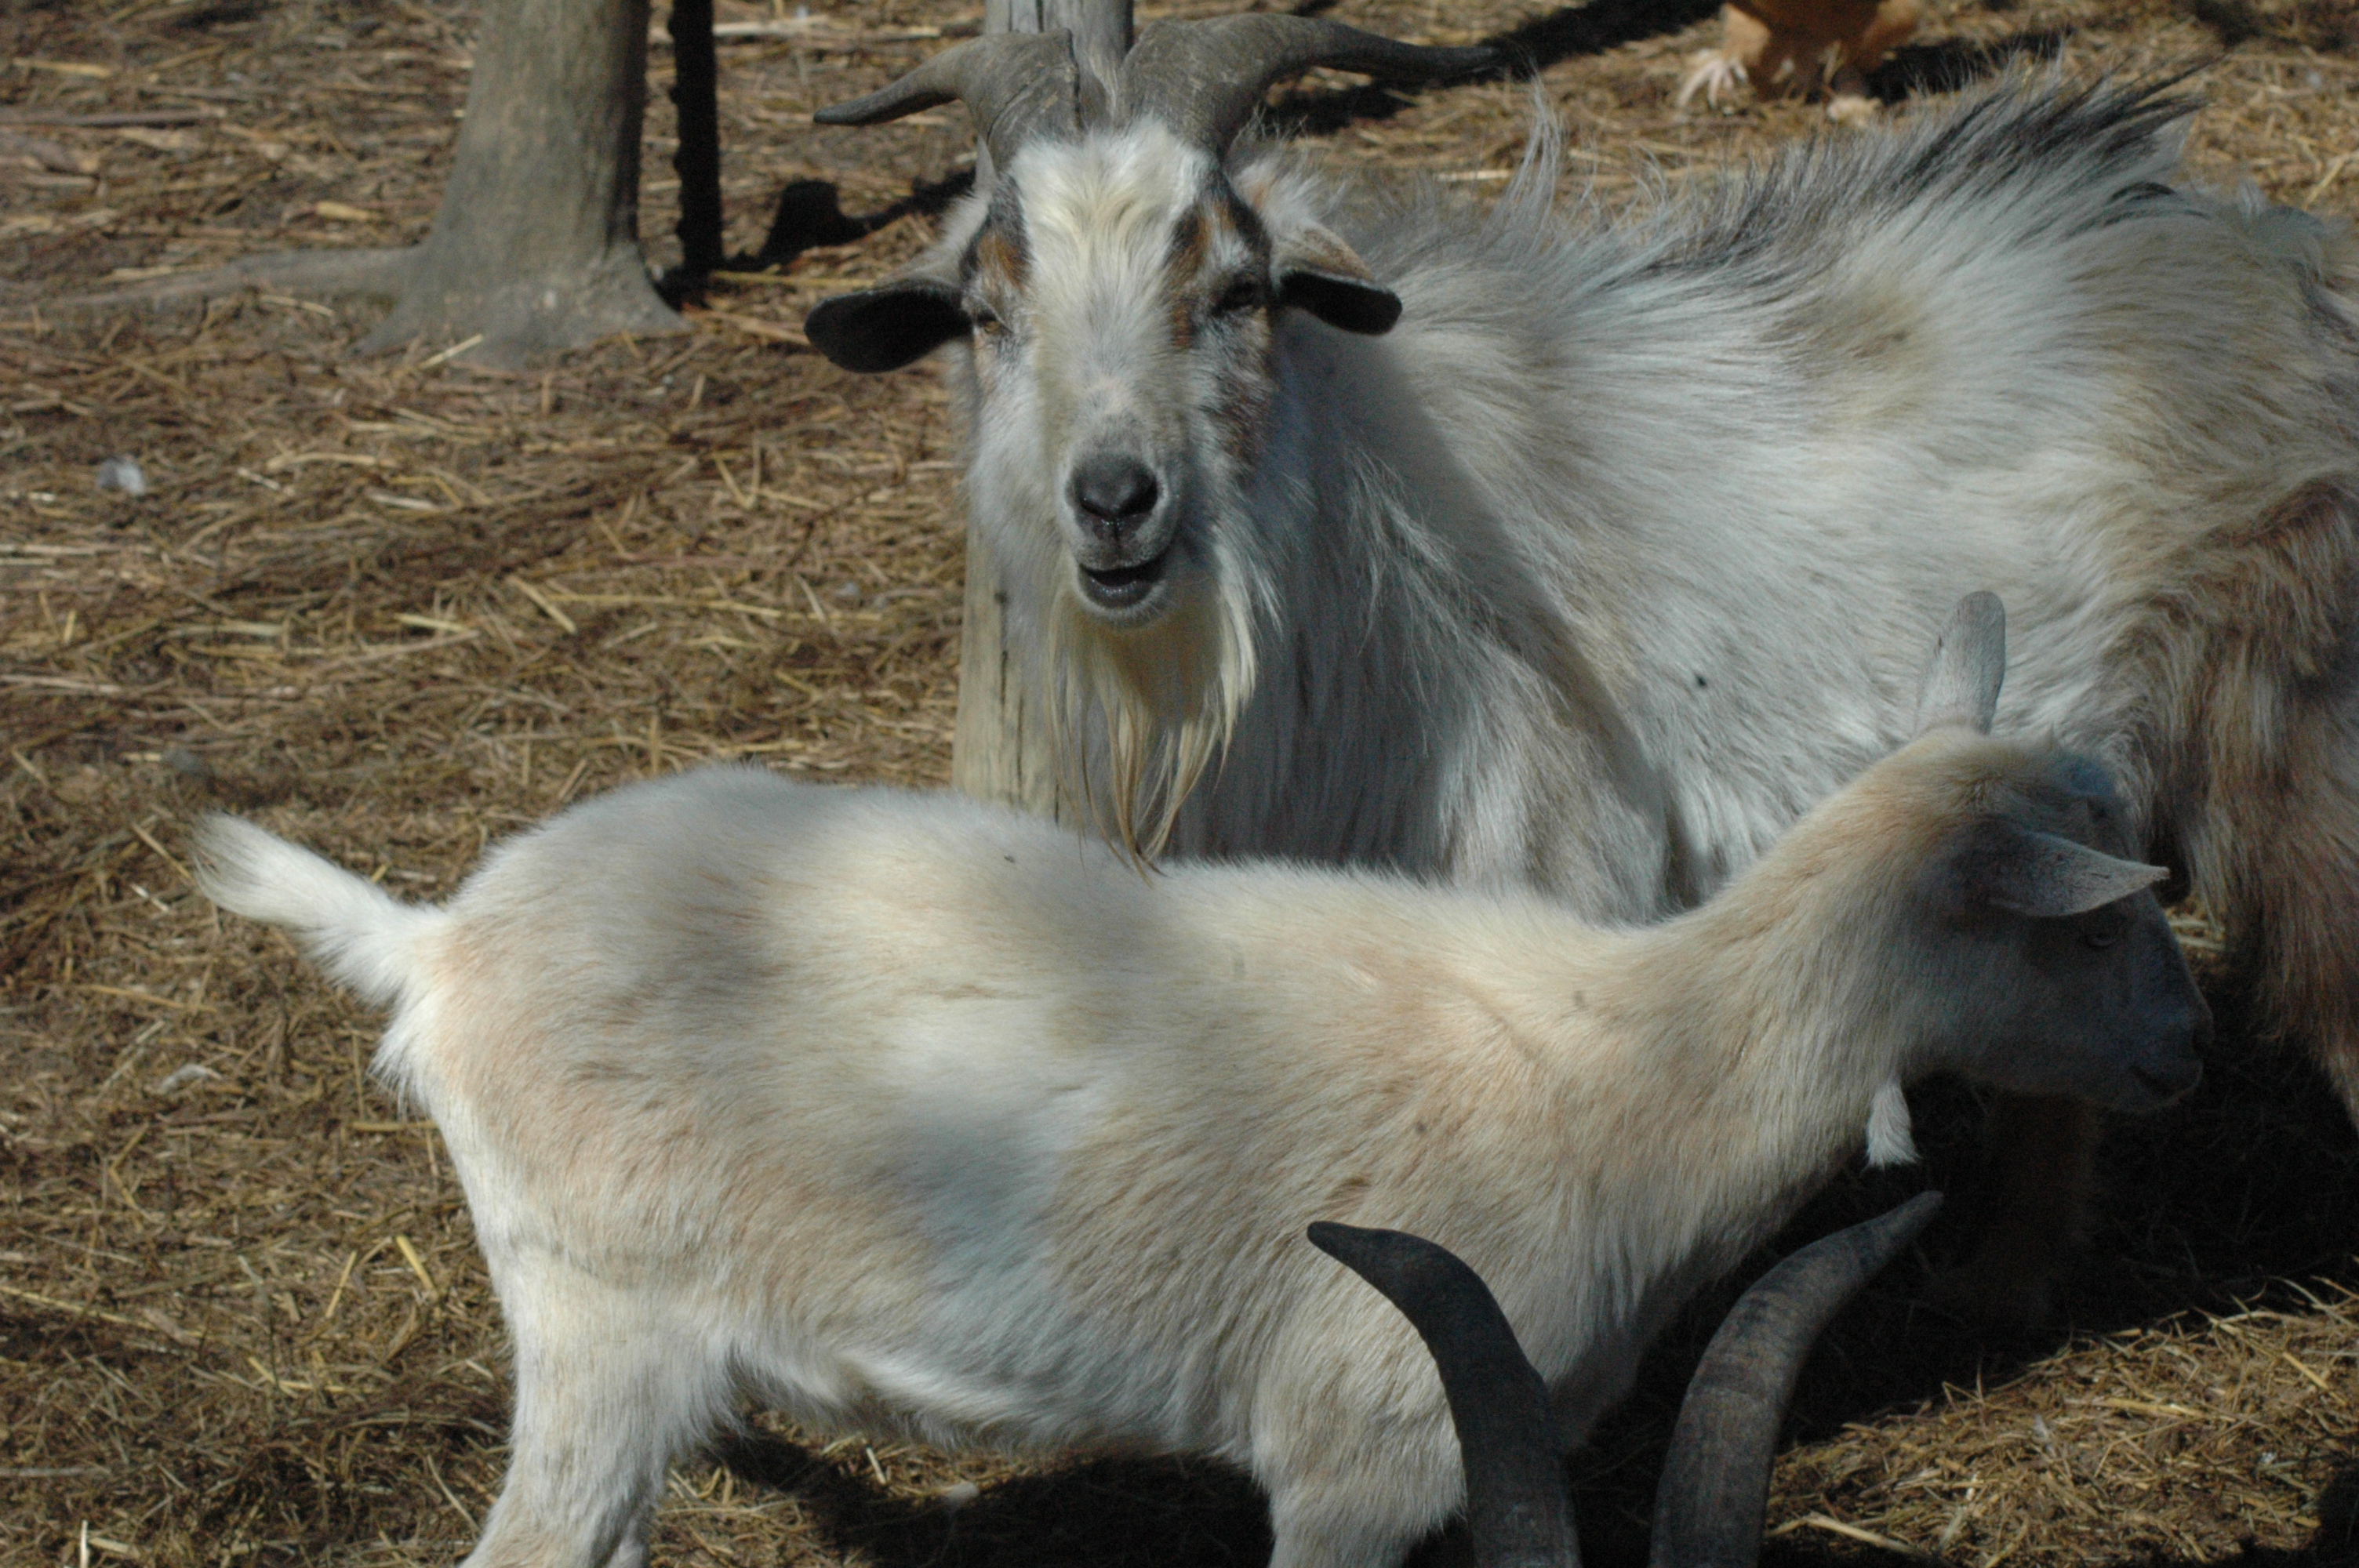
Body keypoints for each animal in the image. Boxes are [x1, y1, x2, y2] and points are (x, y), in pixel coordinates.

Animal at [195, 594, 2206, 1568]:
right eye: (2093, 923)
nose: (2183, 1045)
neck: (1646, 1060)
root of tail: (435, 942)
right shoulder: (1360, 1453)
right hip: (597, 1306)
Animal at [802, 24, 2359, 1317]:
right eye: (983, 312)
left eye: (1236, 292)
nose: (1116, 500)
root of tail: (2287, 259)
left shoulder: (1543, 871)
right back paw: (2002, 1282)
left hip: (2296, 749)